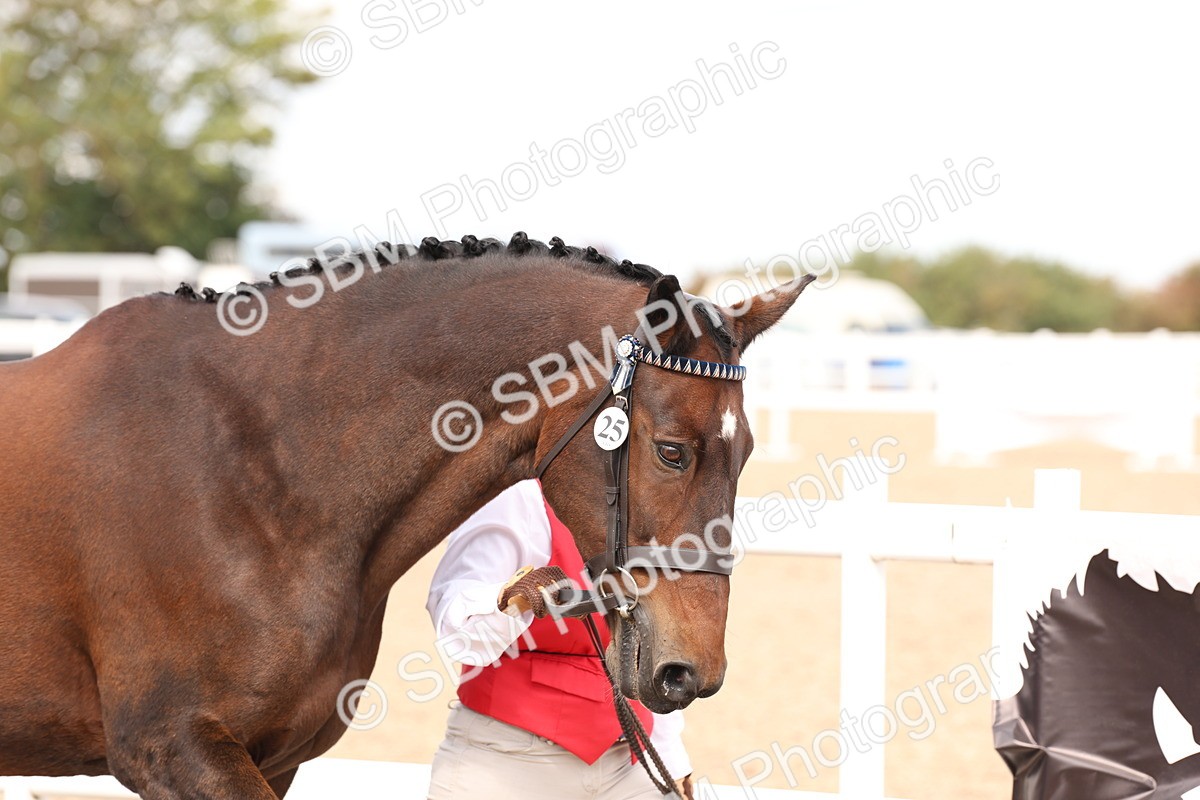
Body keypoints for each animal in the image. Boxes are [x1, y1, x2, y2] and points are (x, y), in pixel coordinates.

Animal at [0, 233, 813, 798]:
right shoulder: (173, 748)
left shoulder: (273, 756)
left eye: (744, 455)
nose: (691, 672)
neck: (253, 466)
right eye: (673, 451)